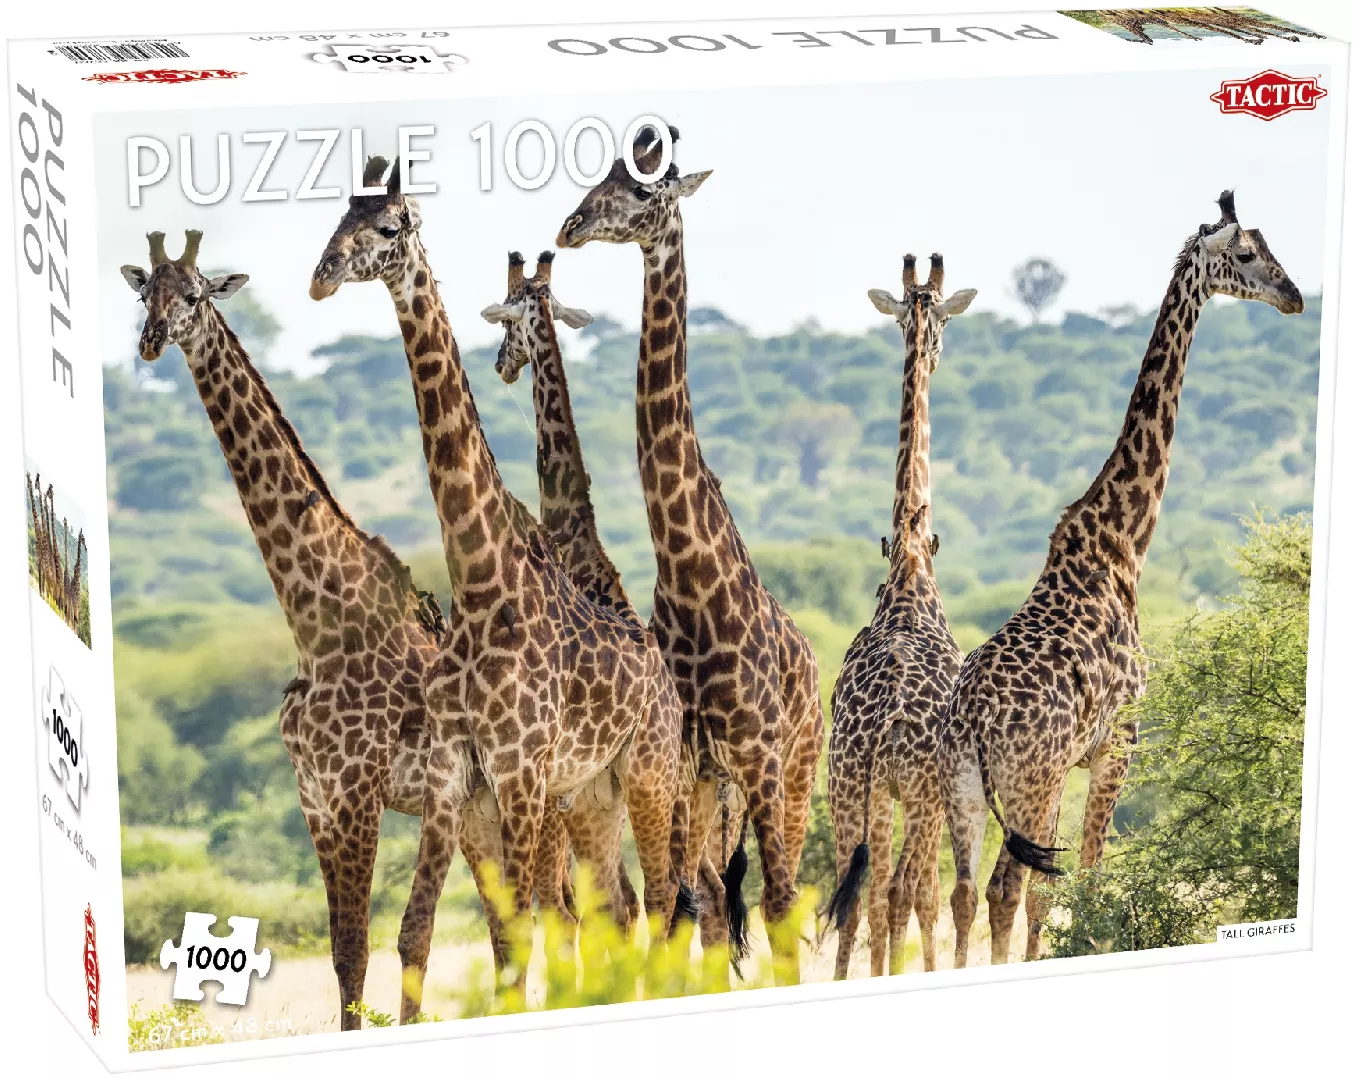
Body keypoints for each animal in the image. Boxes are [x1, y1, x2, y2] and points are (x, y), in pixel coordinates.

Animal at [310, 159, 683, 1021]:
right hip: (595, 791)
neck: (483, 586)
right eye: (338, 216)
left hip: (646, 772)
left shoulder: (519, 770)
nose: (320, 277)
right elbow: (466, 932)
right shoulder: (463, 774)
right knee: (624, 906)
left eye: (388, 227)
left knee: (665, 899)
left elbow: (527, 928)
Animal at [557, 126, 825, 981]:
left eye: (643, 190)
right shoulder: (682, 763)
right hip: (711, 790)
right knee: (706, 900)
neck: (687, 573)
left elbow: (776, 905)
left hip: (796, 771)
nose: (570, 227)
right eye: (597, 179)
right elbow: (682, 910)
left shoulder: (759, 756)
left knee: (781, 895)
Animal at [939, 191, 1305, 968]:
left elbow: (1058, 891)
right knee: (1004, 890)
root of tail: (975, 723)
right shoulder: (1118, 745)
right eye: (1248, 254)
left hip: (963, 790)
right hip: (1029, 780)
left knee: (962, 893)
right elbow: (1088, 878)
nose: (1293, 295)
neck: (1121, 546)